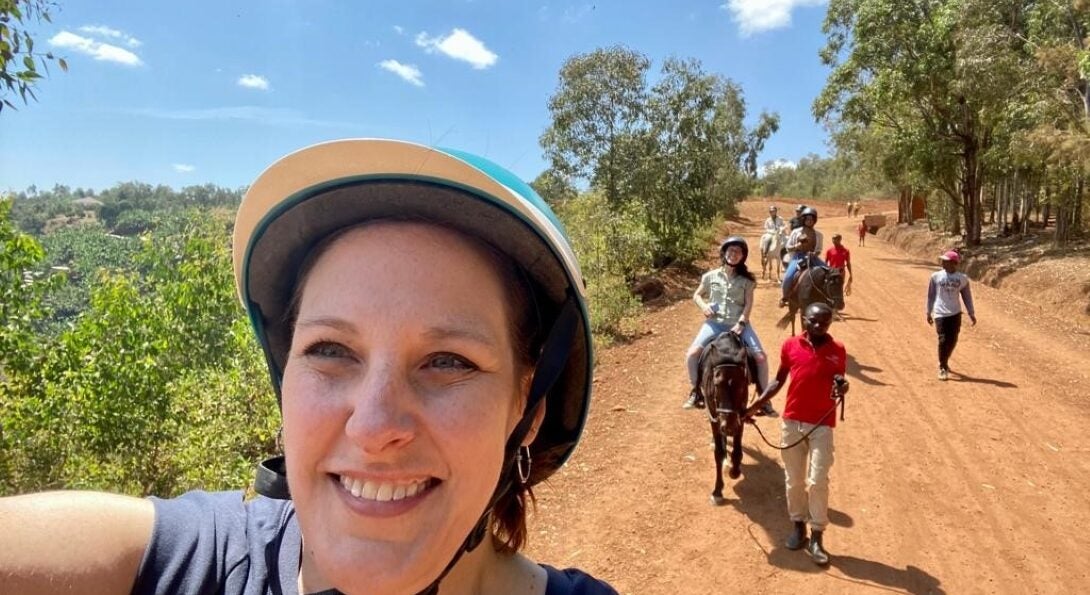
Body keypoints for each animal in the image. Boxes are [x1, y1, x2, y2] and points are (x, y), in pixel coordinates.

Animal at [693, 331, 754, 503]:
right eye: (717, 384)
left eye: (742, 384)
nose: (729, 427)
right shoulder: (714, 418)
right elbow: (719, 453)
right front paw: (717, 491)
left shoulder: (740, 416)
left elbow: (737, 450)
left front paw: (734, 470)